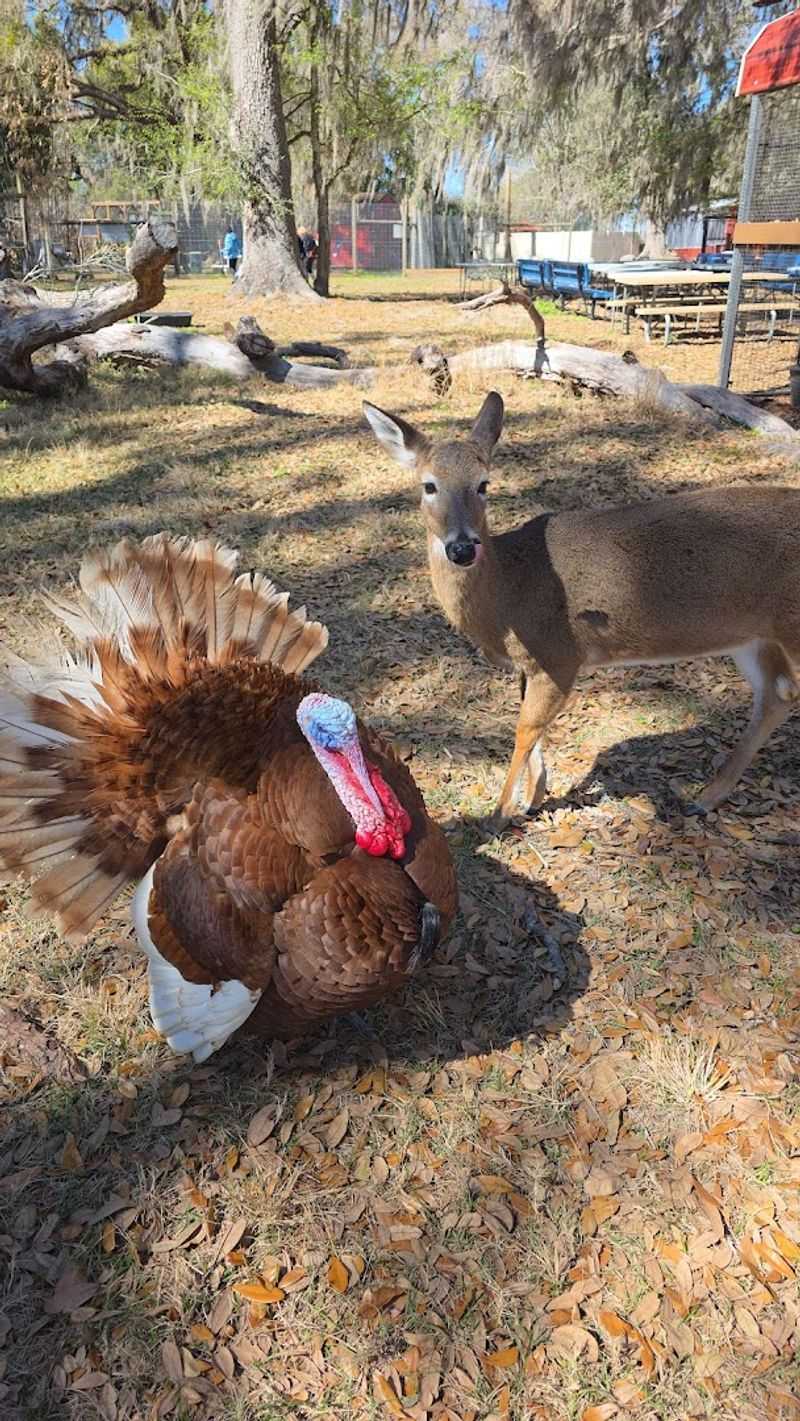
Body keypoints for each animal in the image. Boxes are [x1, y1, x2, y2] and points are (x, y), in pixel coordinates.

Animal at [363, 391, 800, 824]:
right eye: (429, 485)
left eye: (483, 483)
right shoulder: (531, 663)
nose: (462, 548)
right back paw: (705, 797)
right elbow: (530, 728)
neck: (507, 596)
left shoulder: (558, 653)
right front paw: (534, 797)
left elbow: (525, 729)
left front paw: (500, 814)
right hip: (752, 637)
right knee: (777, 694)